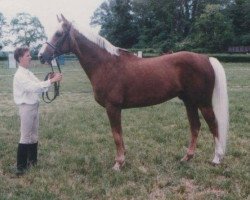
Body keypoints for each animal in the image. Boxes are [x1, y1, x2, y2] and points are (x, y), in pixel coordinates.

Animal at [38, 15, 229, 170]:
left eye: (58, 33)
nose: (41, 56)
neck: (106, 64)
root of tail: (205, 58)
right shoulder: (116, 109)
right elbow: (120, 135)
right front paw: (123, 159)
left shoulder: (113, 108)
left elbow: (116, 135)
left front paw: (118, 163)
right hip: (189, 102)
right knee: (195, 126)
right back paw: (187, 158)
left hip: (203, 103)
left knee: (214, 125)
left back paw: (216, 159)